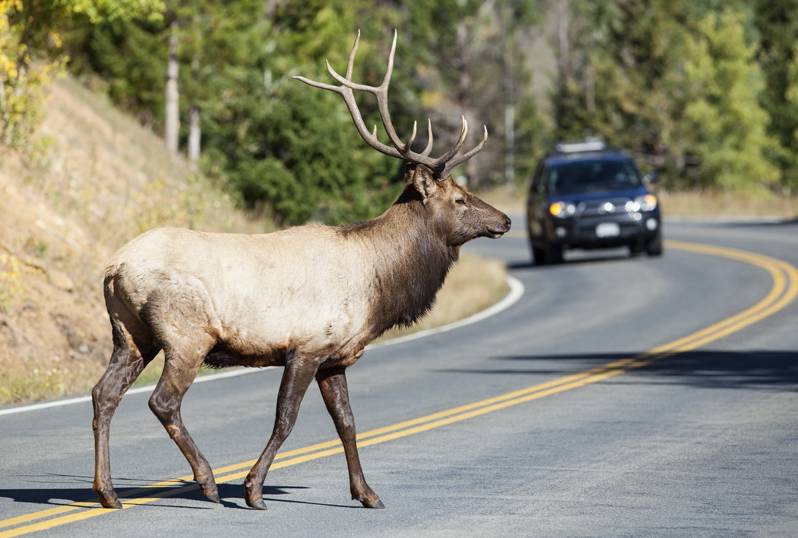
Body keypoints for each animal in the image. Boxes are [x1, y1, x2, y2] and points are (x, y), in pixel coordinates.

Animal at [90, 30, 510, 510]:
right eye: (460, 198)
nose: (504, 220)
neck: (378, 285)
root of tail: (113, 268)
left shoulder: (336, 357)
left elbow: (347, 421)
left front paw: (367, 493)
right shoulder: (307, 345)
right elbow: (286, 419)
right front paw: (254, 489)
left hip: (130, 333)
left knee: (104, 393)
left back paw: (108, 492)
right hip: (185, 334)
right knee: (163, 401)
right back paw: (208, 481)